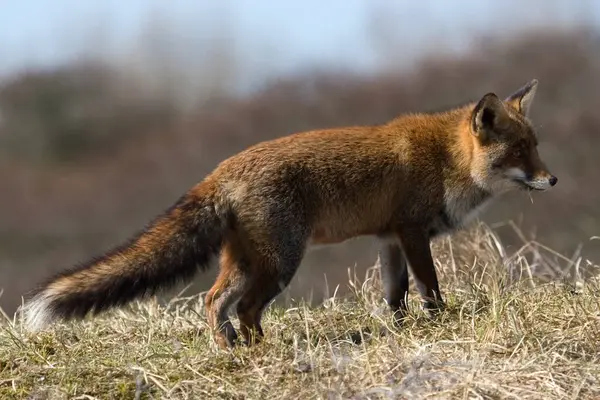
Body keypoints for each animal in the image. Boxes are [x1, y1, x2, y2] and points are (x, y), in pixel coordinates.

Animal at [22, 79, 556, 346]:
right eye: (520, 151)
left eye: (536, 147)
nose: (552, 181)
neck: (448, 159)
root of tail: (220, 171)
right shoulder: (411, 231)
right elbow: (430, 287)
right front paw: (440, 322)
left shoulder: (388, 238)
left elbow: (396, 296)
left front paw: (403, 331)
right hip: (281, 262)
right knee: (244, 308)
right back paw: (263, 350)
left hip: (248, 261)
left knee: (213, 302)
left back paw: (234, 351)